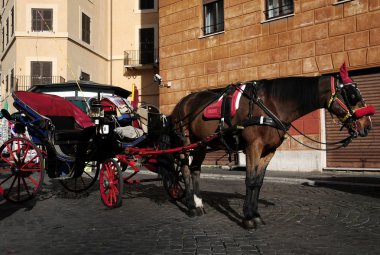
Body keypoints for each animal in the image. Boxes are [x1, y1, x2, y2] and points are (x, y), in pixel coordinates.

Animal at [164, 64, 374, 229]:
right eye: (352, 95)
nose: (367, 125)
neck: (271, 104)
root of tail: (182, 102)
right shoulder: (253, 147)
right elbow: (250, 180)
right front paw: (248, 218)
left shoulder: (269, 151)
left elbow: (258, 182)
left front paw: (255, 214)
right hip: (185, 143)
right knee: (185, 169)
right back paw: (191, 207)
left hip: (201, 144)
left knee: (195, 170)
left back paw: (198, 203)